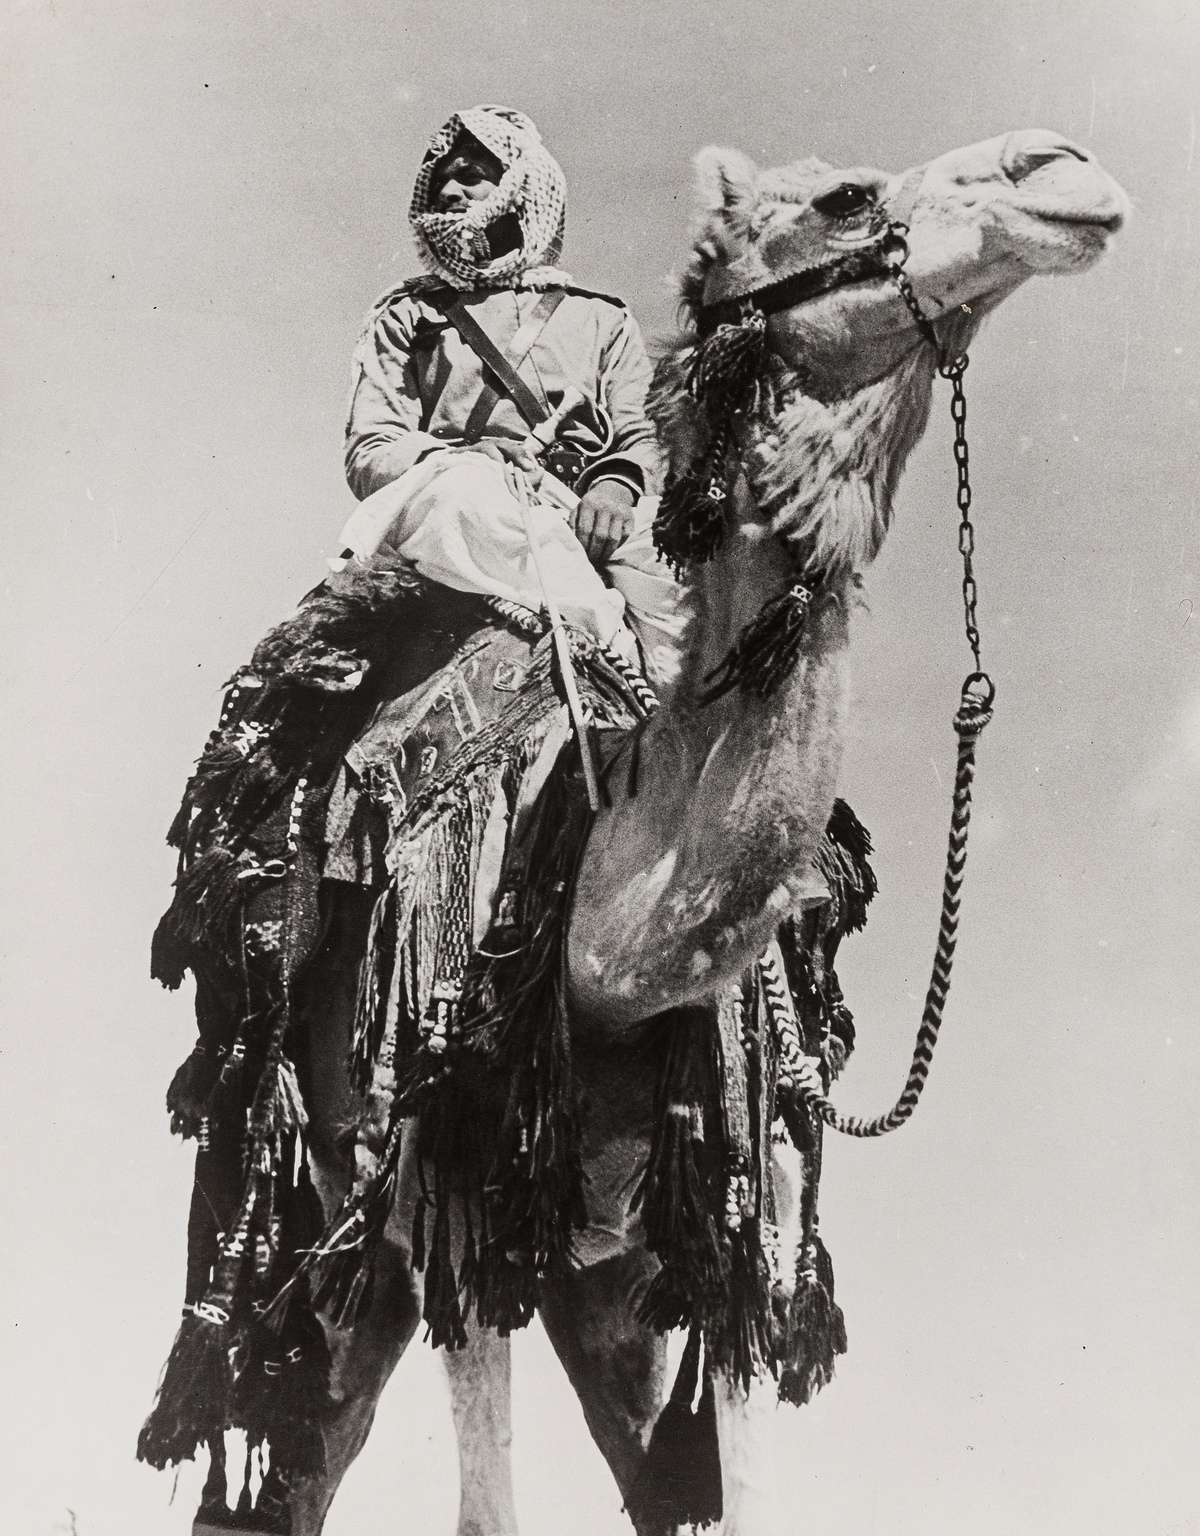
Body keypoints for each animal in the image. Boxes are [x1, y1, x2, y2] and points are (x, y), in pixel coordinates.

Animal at [147, 132, 1124, 1536]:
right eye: (844, 197)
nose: (1066, 170)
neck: (592, 932)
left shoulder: (732, 1211)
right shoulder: (452, 1192)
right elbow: (484, 1501)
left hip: (584, 1280)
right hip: (335, 1210)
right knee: (298, 1446)